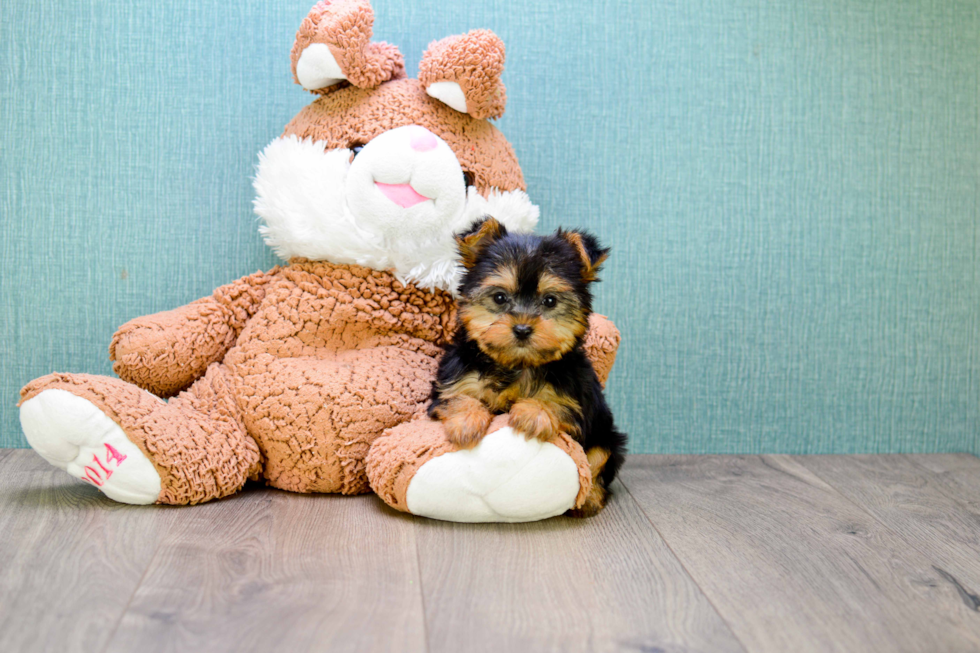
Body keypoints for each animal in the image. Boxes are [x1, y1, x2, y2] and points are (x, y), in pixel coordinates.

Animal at [428, 216, 628, 516]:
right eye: (500, 298)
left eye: (550, 301)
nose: (522, 329)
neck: (518, 364)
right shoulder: (450, 383)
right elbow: (459, 397)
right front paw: (466, 422)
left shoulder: (576, 402)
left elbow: (556, 404)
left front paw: (533, 413)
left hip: (607, 436)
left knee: (597, 460)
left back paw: (590, 498)